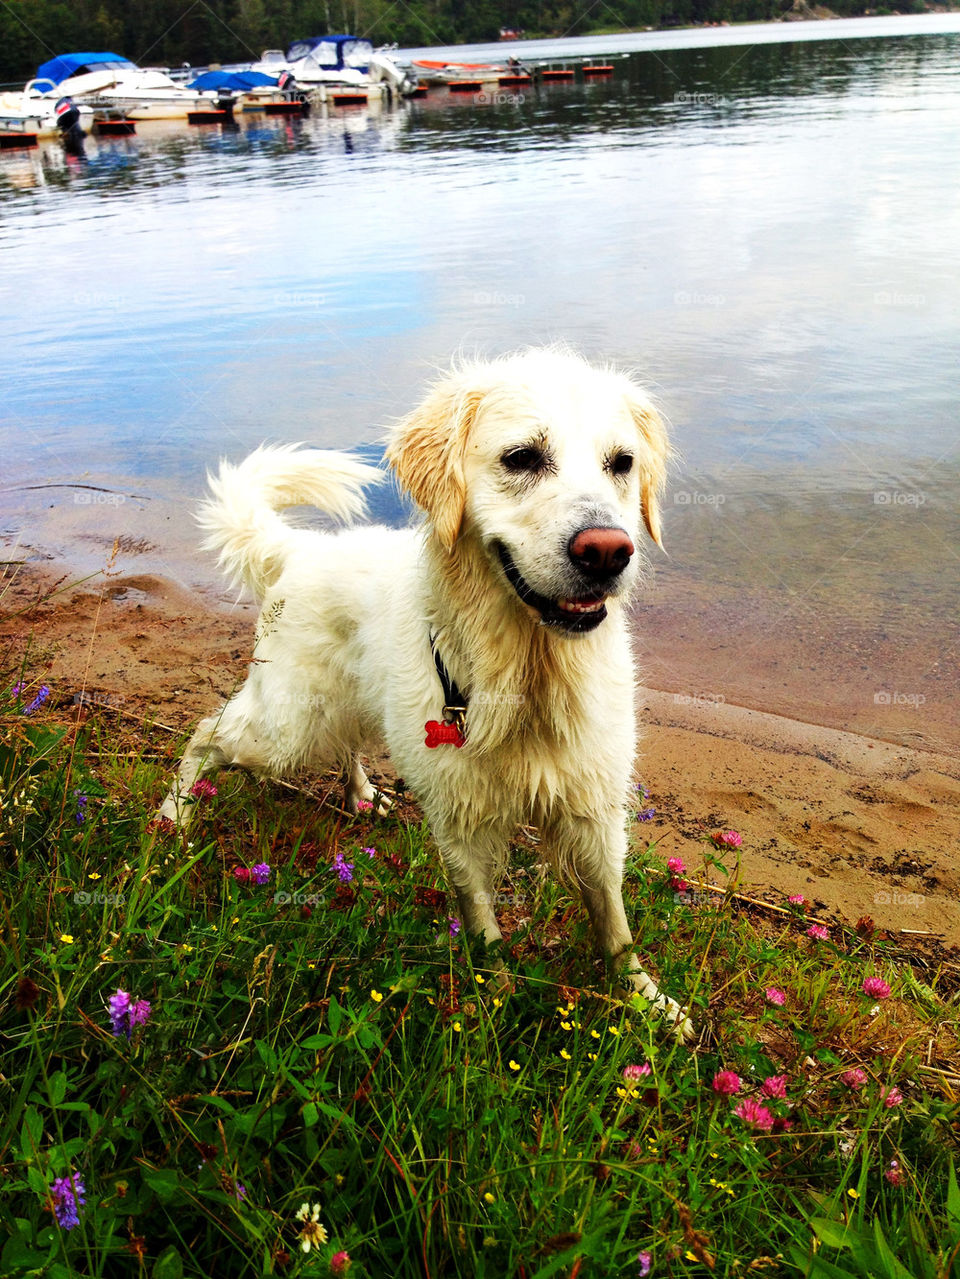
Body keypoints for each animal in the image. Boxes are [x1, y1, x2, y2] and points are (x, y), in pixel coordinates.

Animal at [161, 347, 695, 1038]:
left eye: (622, 463)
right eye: (522, 457)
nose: (607, 551)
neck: (527, 676)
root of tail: (301, 549)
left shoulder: (594, 809)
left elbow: (614, 923)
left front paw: (648, 1002)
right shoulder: (459, 821)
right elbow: (483, 922)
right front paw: (496, 995)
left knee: (345, 743)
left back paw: (361, 794)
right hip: (287, 724)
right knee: (207, 732)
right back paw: (173, 816)